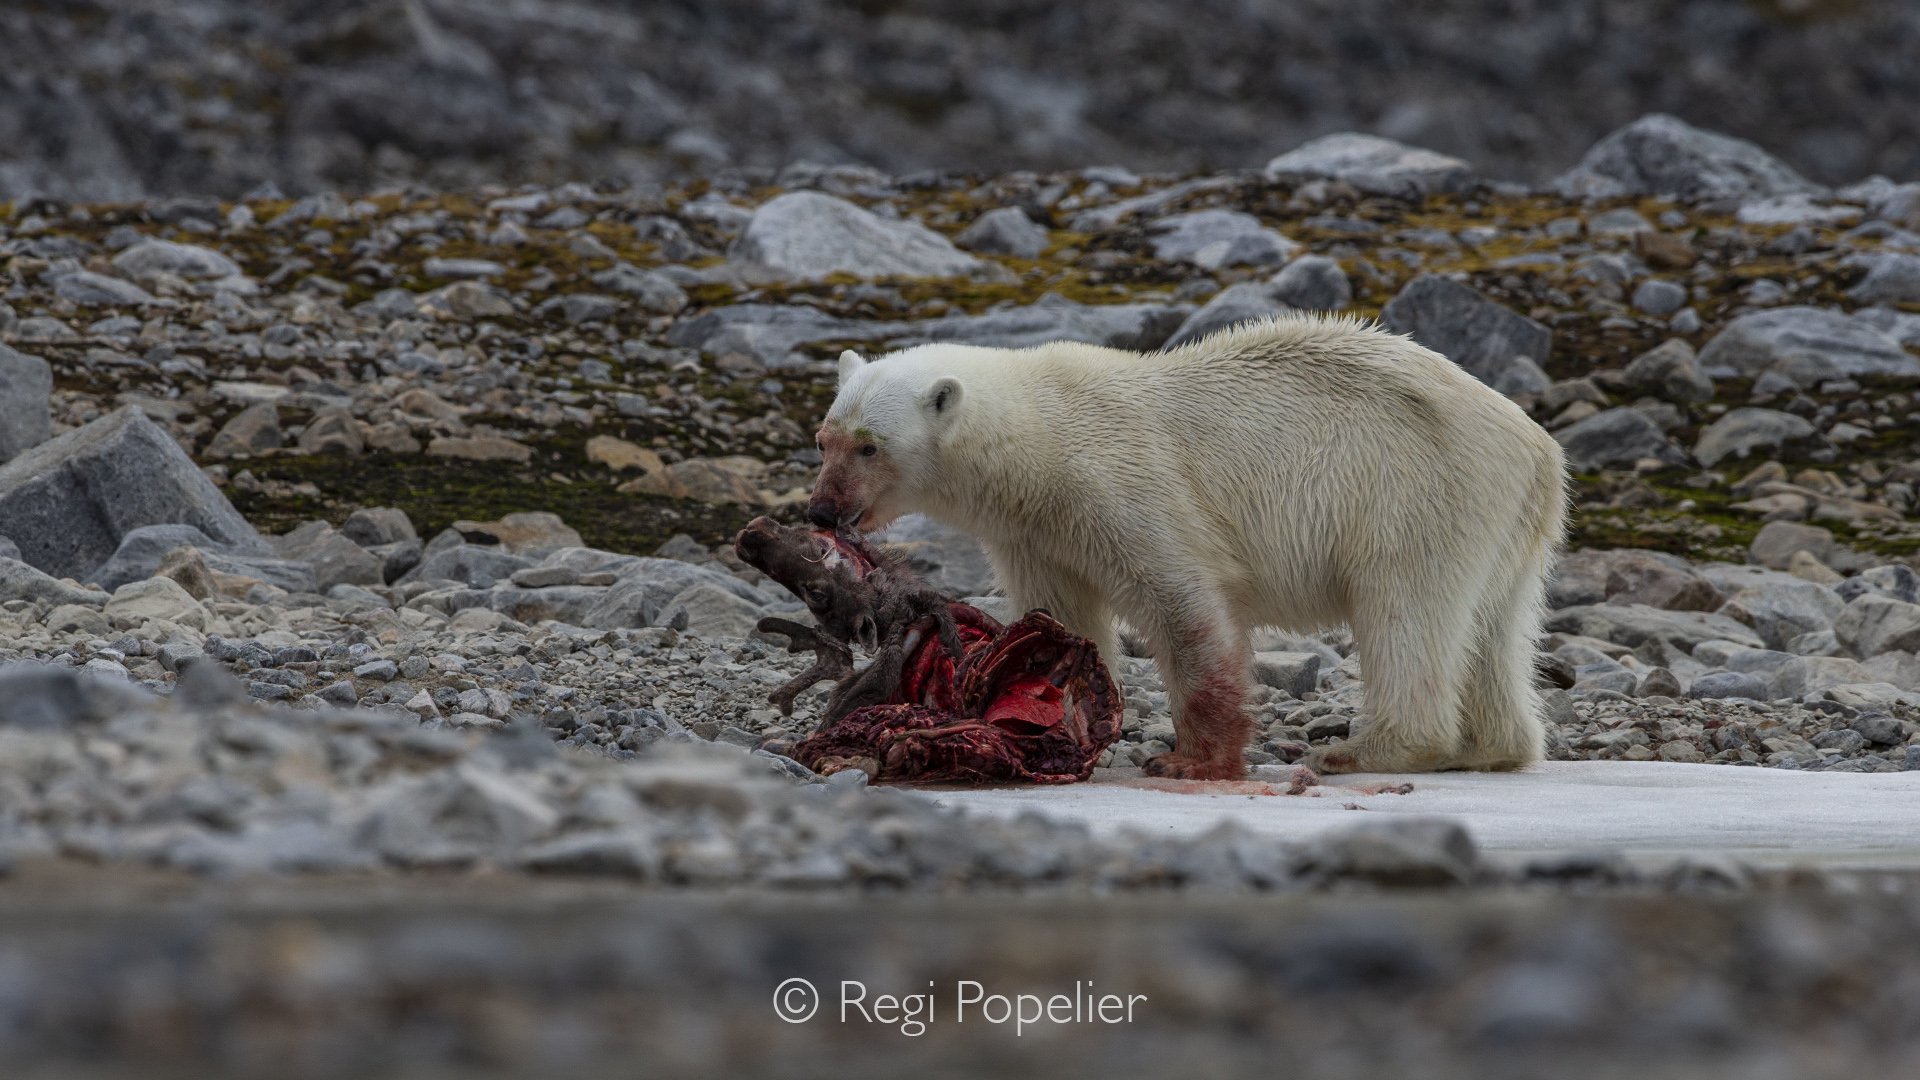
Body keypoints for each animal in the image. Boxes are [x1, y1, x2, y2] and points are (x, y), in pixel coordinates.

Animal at [808, 314, 1567, 780]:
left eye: (870, 447)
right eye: (824, 437)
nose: (821, 509)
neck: (1039, 444)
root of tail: (1536, 444)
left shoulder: (1123, 482)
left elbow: (1182, 602)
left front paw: (1189, 761)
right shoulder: (1035, 532)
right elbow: (1062, 615)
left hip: (1414, 491)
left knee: (1405, 610)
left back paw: (1372, 751)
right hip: (1510, 526)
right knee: (1495, 625)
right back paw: (1490, 747)